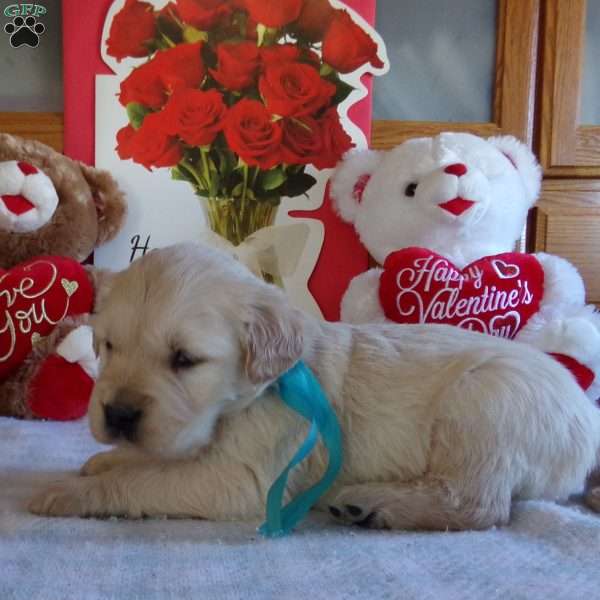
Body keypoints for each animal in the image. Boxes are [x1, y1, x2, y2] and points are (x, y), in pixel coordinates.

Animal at [30, 244, 600, 528]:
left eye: (185, 359)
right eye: (108, 346)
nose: (118, 416)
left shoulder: (244, 479)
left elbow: (147, 480)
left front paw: (70, 490)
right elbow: (151, 459)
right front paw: (107, 458)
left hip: (485, 402)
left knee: (479, 505)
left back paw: (373, 504)